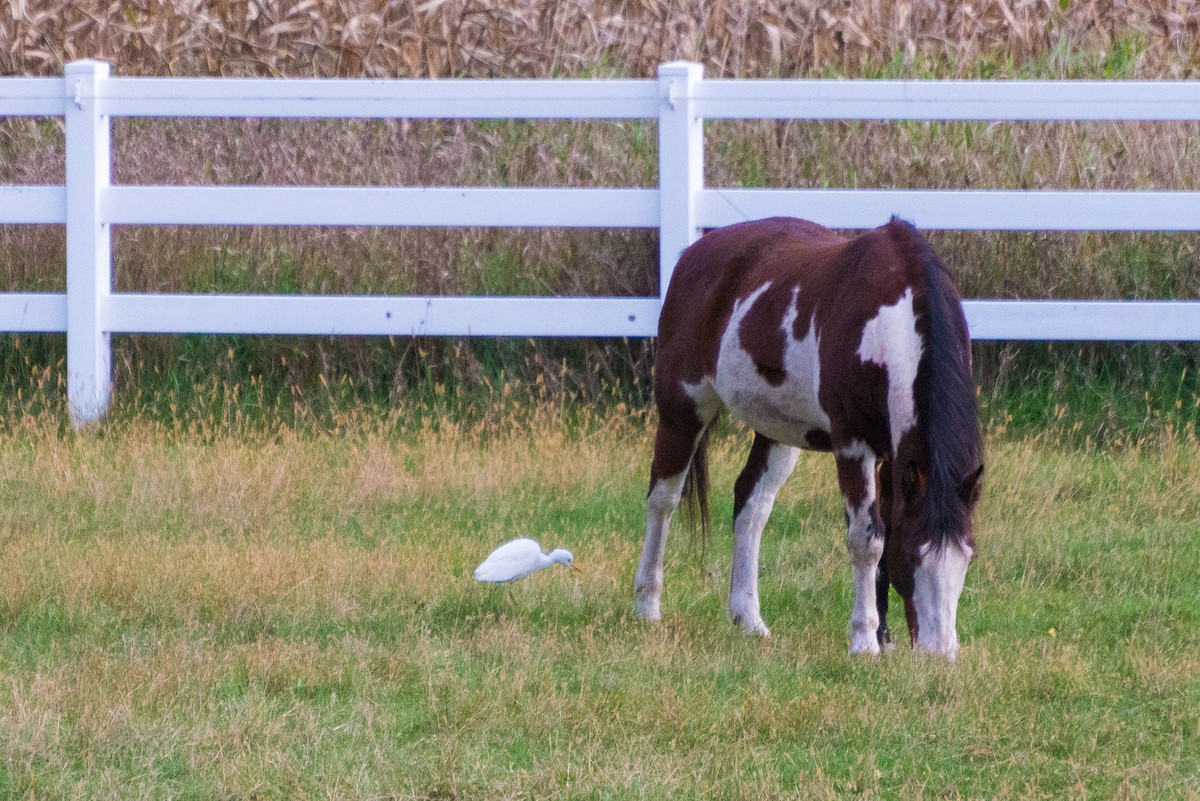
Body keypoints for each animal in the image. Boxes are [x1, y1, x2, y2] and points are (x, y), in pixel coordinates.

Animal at [633, 214, 979, 657]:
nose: (941, 654)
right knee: (663, 500)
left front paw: (885, 639)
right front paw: (864, 641)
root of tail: (694, 254)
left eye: (967, 557)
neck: (890, 324)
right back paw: (647, 605)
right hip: (682, 411)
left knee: (751, 506)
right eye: (915, 555)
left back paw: (749, 619)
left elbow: (883, 529)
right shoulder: (854, 446)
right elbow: (868, 542)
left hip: (776, 431)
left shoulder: (896, 455)